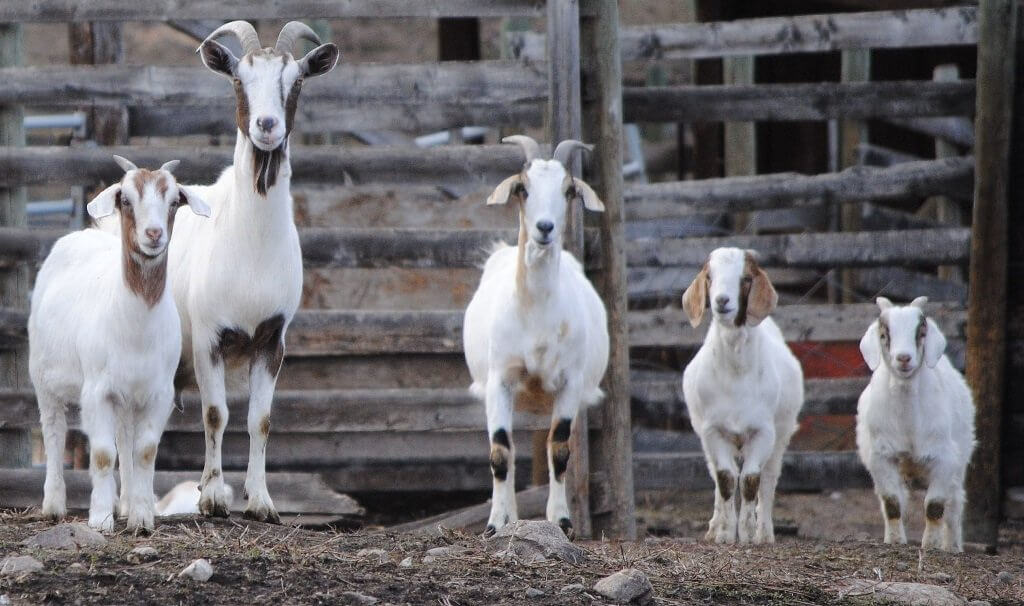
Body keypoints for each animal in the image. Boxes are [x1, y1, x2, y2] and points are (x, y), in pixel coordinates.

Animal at [29, 156, 210, 532]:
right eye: (126, 200)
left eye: (174, 202)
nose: (153, 234)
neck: (136, 323)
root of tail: (81, 234)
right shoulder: (97, 391)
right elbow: (101, 454)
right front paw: (100, 519)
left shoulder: (158, 393)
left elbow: (144, 451)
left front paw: (142, 518)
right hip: (42, 375)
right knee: (53, 429)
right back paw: (53, 505)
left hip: (128, 396)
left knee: (125, 439)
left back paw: (126, 504)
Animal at [464, 135, 606, 536]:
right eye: (523, 189)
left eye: (569, 190)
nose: (545, 228)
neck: (536, 313)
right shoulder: (500, 380)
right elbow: (500, 451)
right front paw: (495, 524)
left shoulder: (570, 383)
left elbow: (559, 451)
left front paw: (562, 521)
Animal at [684, 245, 802, 544]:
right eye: (710, 277)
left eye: (746, 278)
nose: (722, 301)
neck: (737, 374)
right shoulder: (712, 430)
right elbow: (725, 478)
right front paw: (726, 534)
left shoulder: (763, 431)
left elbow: (750, 480)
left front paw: (748, 534)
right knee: (715, 476)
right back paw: (714, 528)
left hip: (781, 434)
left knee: (769, 479)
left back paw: (765, 533)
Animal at [856, 296, 974, 552]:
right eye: (884, 334)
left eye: (921, 333)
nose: (903, 358)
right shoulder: (881, 457)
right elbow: (892, 503)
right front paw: (894, 540)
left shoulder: (944, 459)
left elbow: (935, 506)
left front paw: (931, 544)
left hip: (960, 459)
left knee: (954, 504)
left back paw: (953, 546)